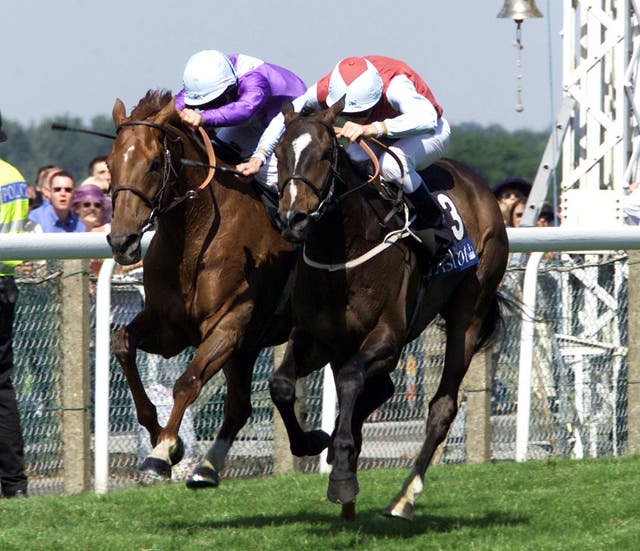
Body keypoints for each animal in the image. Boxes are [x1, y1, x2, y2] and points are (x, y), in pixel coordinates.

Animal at [107, 90, 300, 488]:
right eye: (110, 163)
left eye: (153, 164)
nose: (122, 242)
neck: (195, 234)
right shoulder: (169, 327)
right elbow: (122, 344)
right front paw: (159, 435)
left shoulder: (228, 323)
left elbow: (187, 381)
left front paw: (163, 451)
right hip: (247, 349)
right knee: (240, 407)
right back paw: (208, 469)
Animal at [270, 100, 510, 520]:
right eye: (280, 152)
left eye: (325, 154)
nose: (292, 219)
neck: (343, 254)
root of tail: (481, 189)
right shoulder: (316, 337)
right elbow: (281, 384)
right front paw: (315, 441)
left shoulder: (388, 336)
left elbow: (350, 379)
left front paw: (342, 473)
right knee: (382, 388)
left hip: (469, 312)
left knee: (442, 406)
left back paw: (404, 497)